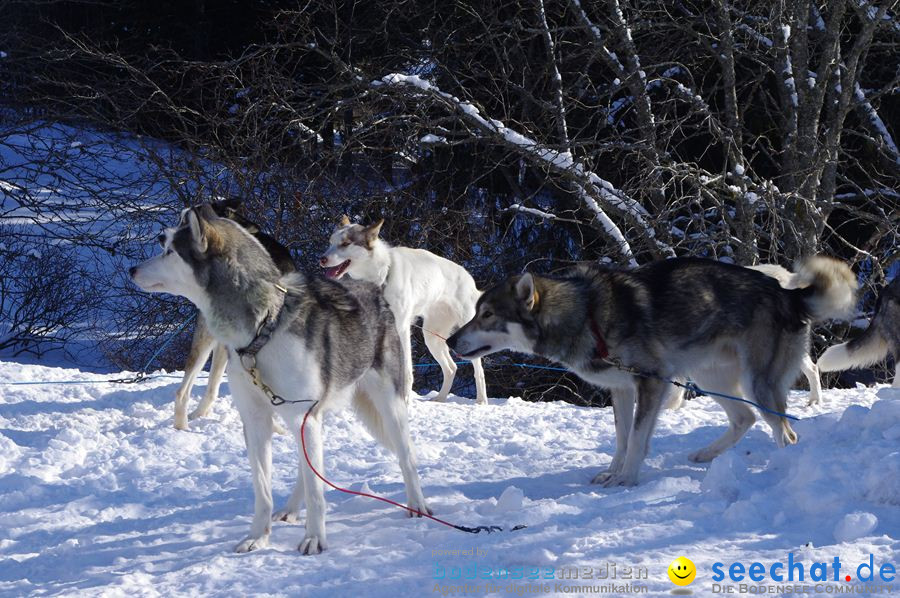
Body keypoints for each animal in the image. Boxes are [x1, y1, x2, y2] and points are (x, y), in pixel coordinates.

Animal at [322, 213, 488, 406]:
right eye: (330, 242)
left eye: (345, 243)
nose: (322, 259)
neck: (381, 277)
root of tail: (469, 279)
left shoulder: (401, 329)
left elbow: (406, 371)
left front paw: (405, 400)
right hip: (431, 337)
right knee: (451, 367)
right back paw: (440, 398)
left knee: (478, 371)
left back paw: (481, 401)